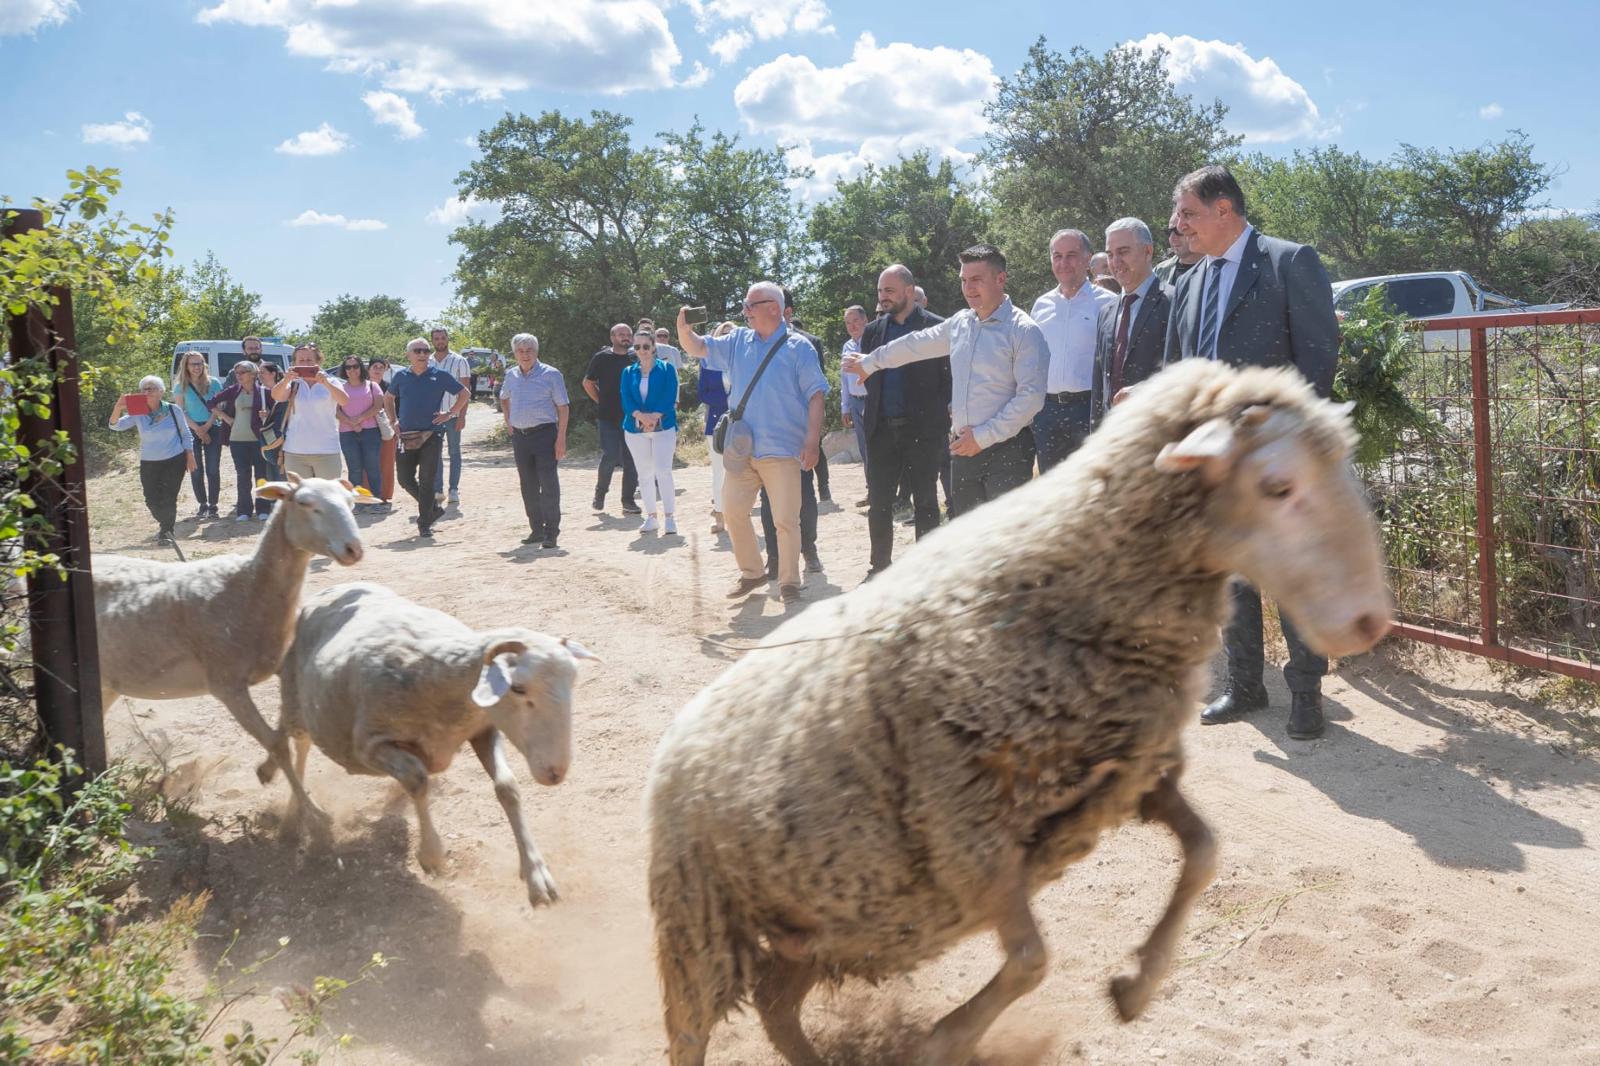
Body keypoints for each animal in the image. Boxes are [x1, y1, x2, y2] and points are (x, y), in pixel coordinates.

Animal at [96, 473, 366, 813]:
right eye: (305, 503)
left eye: (351, 502)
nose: (353, 549)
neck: (249, 588)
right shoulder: (226, 683)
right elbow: (277, 742)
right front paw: (310, 812)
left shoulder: (282, 665)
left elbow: (296, 731)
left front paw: (275, 779)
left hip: (108, 683)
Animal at [265, 582, 598, 902]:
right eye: (517, 688)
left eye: (573, 682)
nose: (555, 772)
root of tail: (327, 591)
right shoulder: (370, 746)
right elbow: (417, 778)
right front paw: (432, 856)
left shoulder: (483, 729)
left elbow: (507, 787)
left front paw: (536, 874)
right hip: (296, 701)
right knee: (296, 750)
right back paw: (294, 815)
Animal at [643, 358, 1395, 1062]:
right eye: (1279, 487)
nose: (1370, 622)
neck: (1067, 580)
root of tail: (677, 736)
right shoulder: (968, 835)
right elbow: (1033, 961)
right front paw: (943, 1042)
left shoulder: (1125, 776)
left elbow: (1206, 852)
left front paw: (1137, 985)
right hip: (700, 921)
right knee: (691, 1031)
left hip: (822, 925)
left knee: (776, 1005)